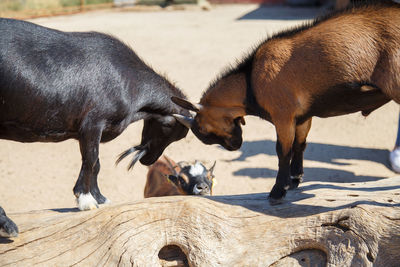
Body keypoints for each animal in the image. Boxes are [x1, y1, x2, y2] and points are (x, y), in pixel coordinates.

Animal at [172, 0, 400, 205]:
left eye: (203, 128)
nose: (234, 146)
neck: (250, 81)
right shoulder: (303, 116)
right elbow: (300, 144)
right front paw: (295, 179)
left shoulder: (283, 114)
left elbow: (282, 151)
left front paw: (277, 191)